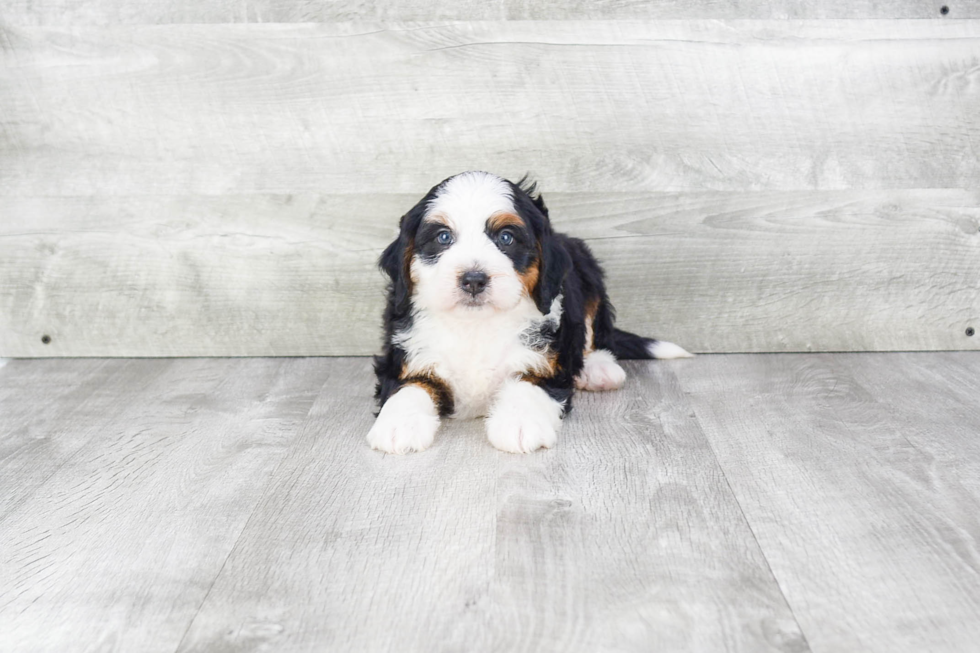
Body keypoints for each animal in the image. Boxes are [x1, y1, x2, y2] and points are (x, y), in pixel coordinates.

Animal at [366, 169, 688, 454]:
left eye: (506, 238)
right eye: (443, 237)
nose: (473, 279)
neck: (475, 325)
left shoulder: (549, 364)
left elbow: (529, 382)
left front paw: (519, 424)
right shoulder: (405, 358)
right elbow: (409, 386)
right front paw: (398, 425)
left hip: (587, 270)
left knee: (595, 329)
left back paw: (598, 368)